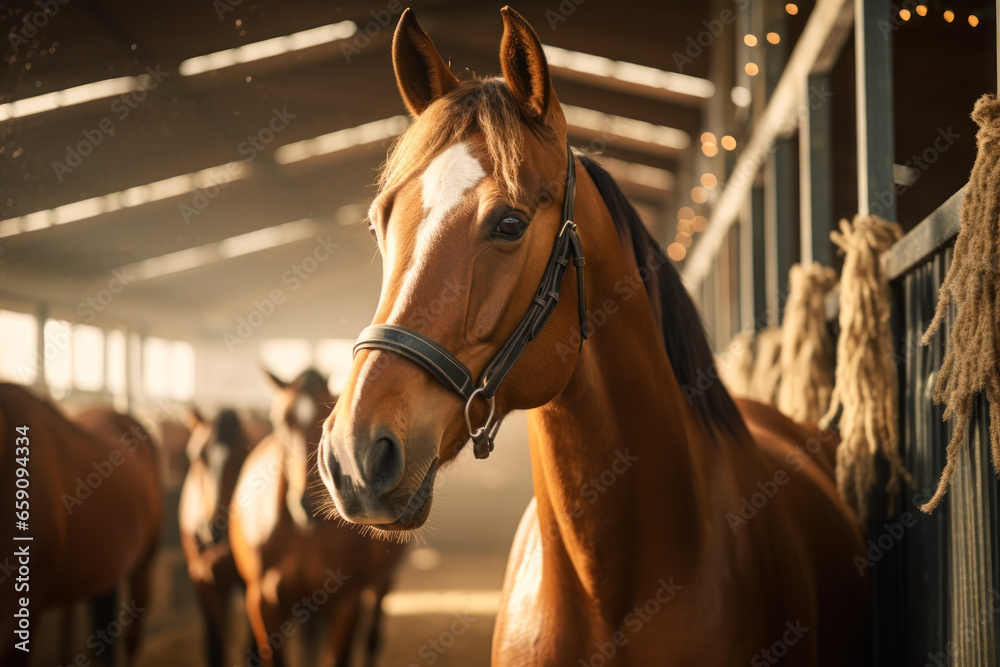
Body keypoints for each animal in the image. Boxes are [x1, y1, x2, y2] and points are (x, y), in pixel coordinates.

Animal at [180, 408, 262, 666]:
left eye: (246, 454)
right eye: (195, 456)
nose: (212, 528)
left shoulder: (251, 585)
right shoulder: (202, 581)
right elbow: (215, 651)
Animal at [228, 369, 407, 667]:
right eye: (280, 420)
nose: (307, 505)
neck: (303, 534)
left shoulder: (346, 603)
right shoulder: (262, 602)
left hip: (382, 582)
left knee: (372, 637)